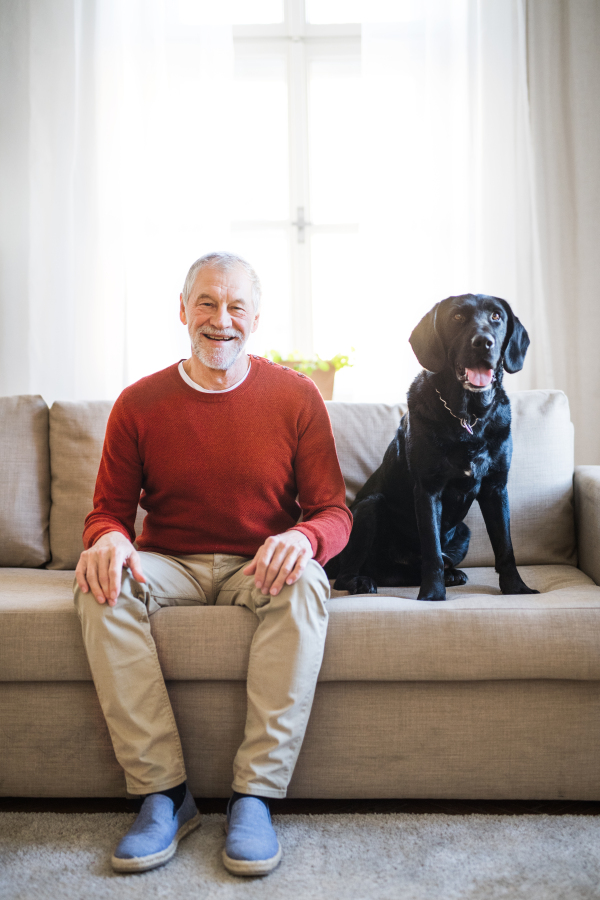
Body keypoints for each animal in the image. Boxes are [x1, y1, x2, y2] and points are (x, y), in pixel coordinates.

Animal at [328, 296, 540, 604]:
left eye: (496, 316)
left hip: (463, 532)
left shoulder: (496, 487)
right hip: (369, 507)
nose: (484, 342)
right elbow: (432, 551)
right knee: (350, 573)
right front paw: (432, 595)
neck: (468, 416)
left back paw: (452, 575)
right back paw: (362, 582)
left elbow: (505, 547)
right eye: (457, 318)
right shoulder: (429, 490)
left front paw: (516, 589)